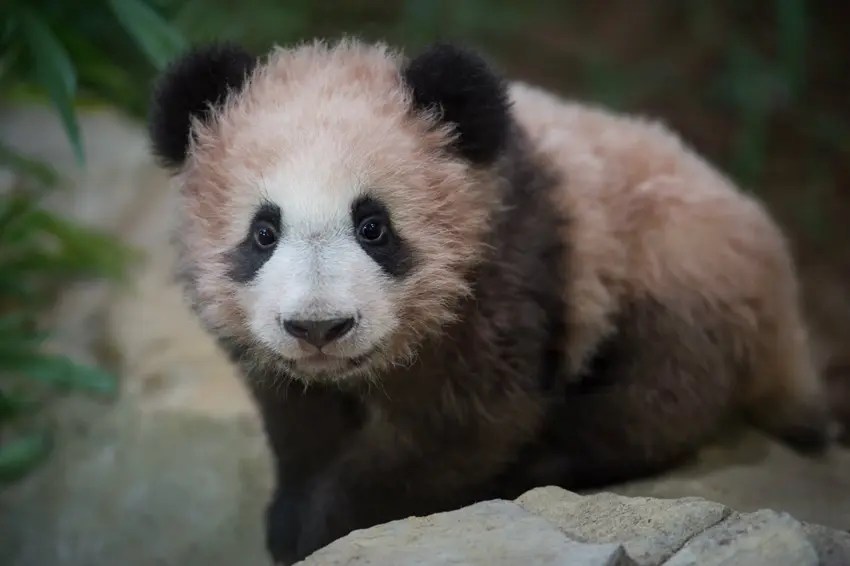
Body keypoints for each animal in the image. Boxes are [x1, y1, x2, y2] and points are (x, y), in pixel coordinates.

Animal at [147, 38, 834, 563]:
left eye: (374, 227)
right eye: (264, 232)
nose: (319, 326)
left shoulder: (509, 271)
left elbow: (468, 425)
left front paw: (329, 524)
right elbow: (298, 418)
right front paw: (290, 514)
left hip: (674, 276)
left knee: (648, 402)